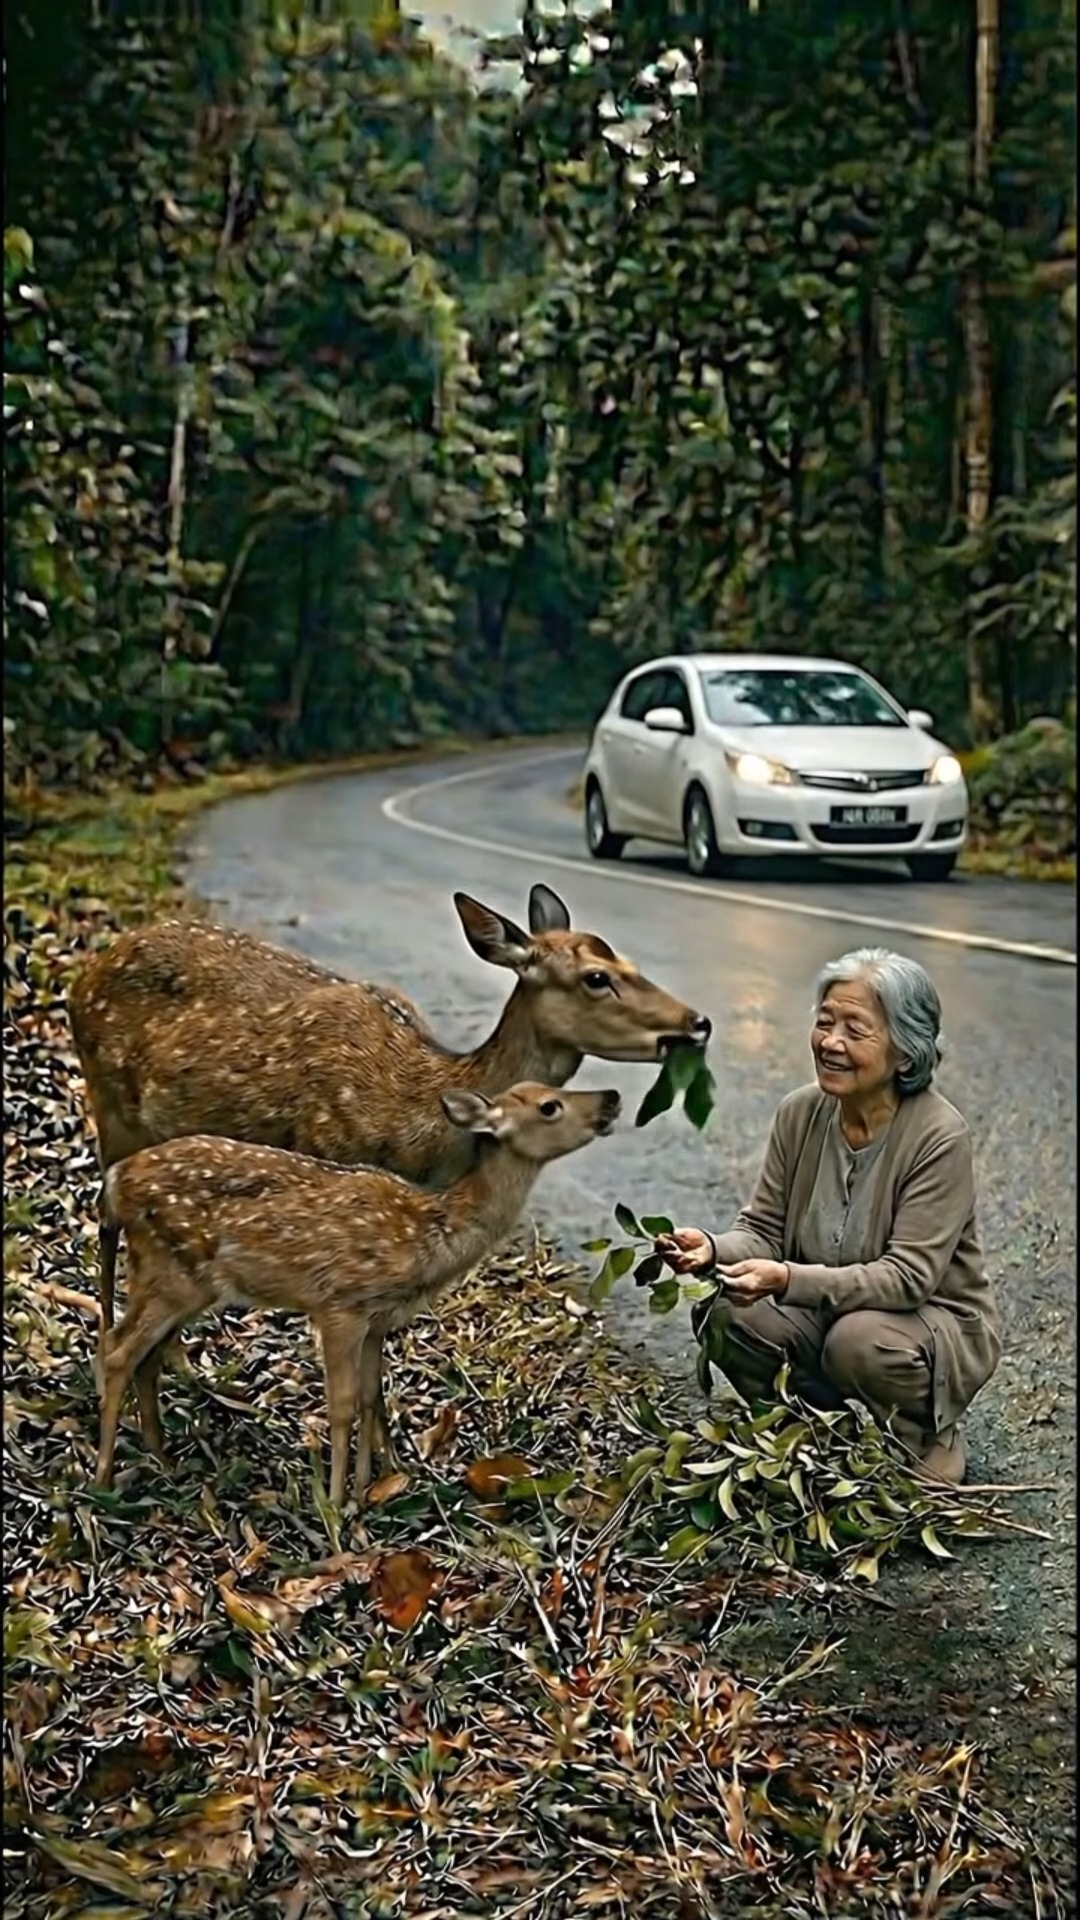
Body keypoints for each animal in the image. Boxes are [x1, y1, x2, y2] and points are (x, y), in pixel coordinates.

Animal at [95, 1081, 622, 1508]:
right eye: (550, 1105)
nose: (611, 1098)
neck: (429, 1236)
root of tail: (116, 1182)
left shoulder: (377, 1317)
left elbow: (372, 1395)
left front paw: (371, 1487)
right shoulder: (339, 1304)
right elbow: (343, 1404)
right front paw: (334, 1503)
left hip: (180, 1279)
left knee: (144, 1354)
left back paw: (160, 1457)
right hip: (171, 1272)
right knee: (118, 1349)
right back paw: (103, 1477)